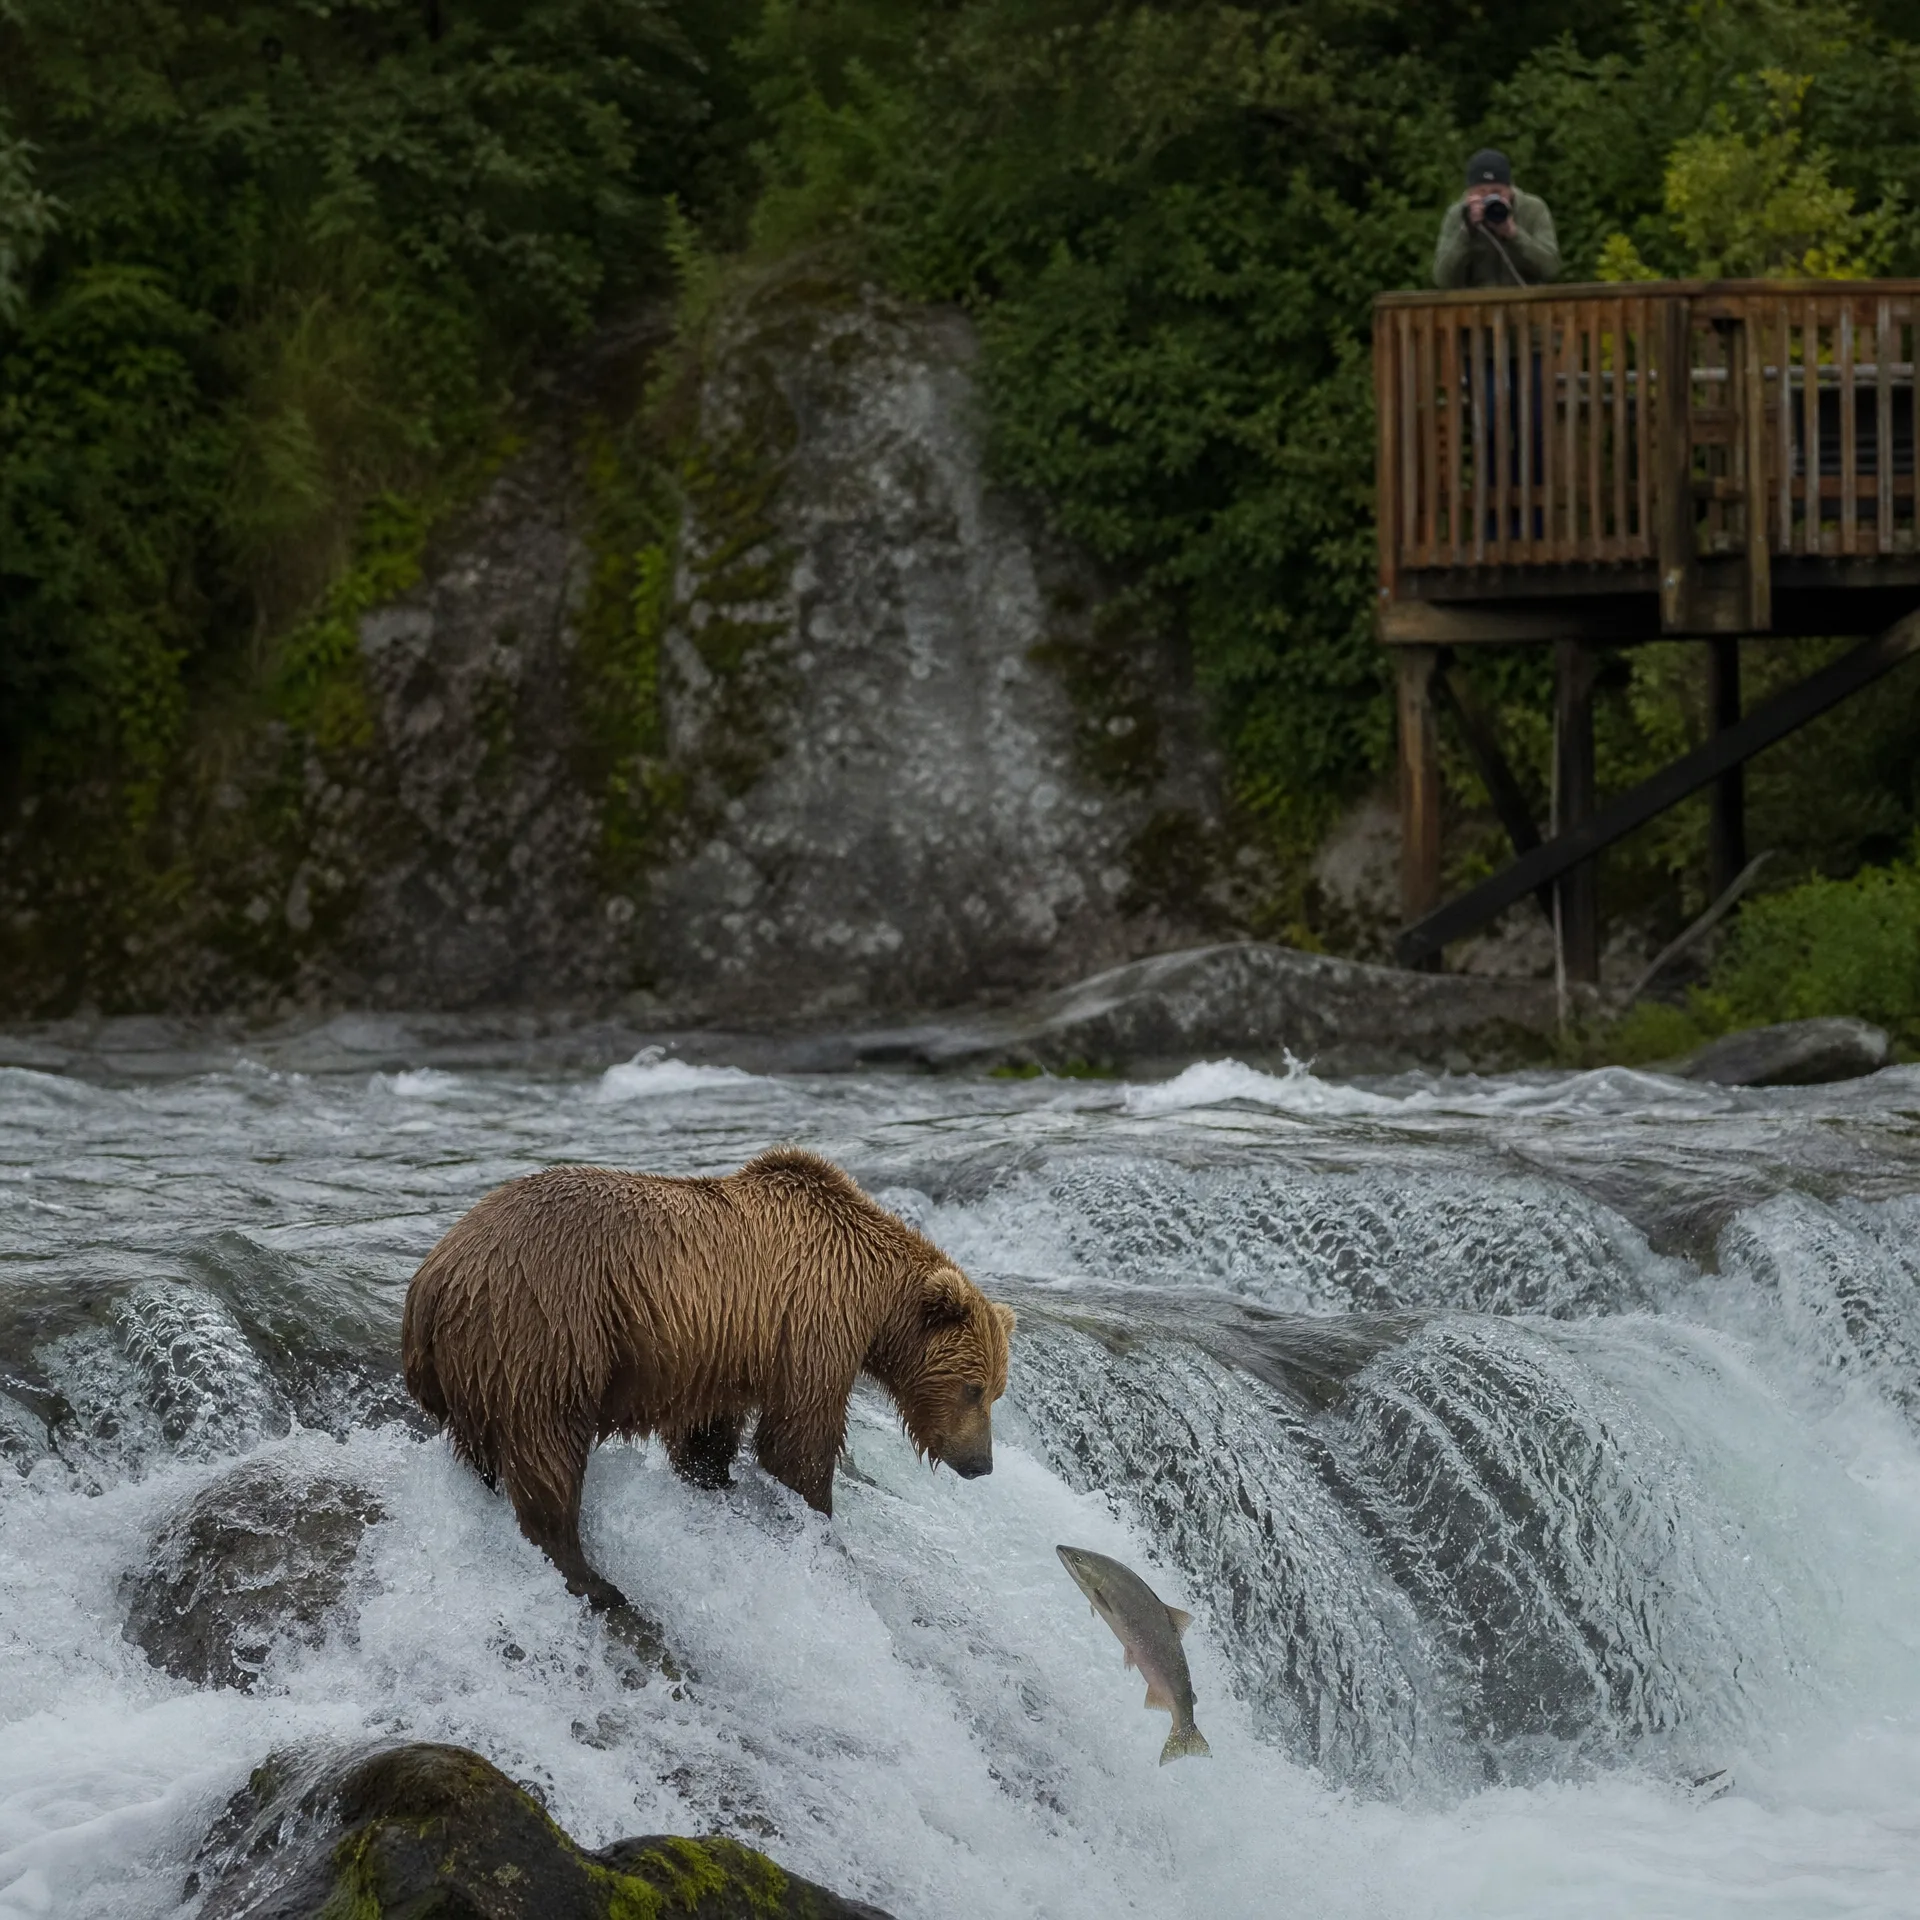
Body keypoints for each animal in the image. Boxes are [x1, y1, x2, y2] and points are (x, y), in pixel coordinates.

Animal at [401, 1146, 1016, 1611]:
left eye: (996, 1391)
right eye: (973, 1388)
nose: (980, 1464)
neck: (874, 1296)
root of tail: (433, 1279)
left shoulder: (726, 1349)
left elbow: (707, 1434)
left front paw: (715, 1481)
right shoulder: (813, 1323)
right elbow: (798, 1441)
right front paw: (819, 1519)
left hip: (478, 1367)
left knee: (482, 1450)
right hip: (546, 1329)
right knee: (546, 1451)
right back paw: (593, 1579)